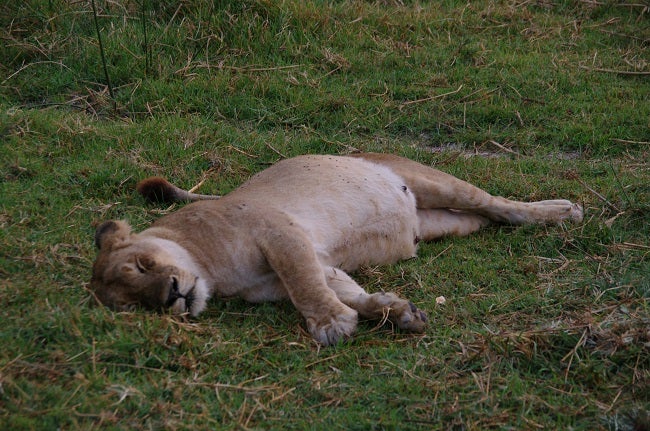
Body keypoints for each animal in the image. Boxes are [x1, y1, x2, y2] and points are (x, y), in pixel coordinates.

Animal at [88, 154, 580, 346]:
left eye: (143, 264)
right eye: (135, 306)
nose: (171, 295)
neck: (213, 274)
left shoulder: (282, 235)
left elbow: (306, 285)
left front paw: (330, 326)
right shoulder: (307, 266)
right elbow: (342, 288)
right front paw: (396, 311)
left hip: (431, 180)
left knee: (499, 205)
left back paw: (561, 211)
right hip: (443, 223)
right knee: (483, 219)